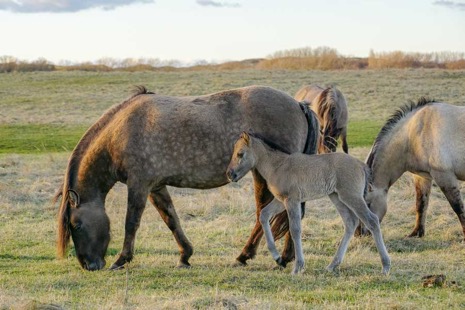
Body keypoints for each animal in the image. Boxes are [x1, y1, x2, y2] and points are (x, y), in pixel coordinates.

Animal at [55, 86, 320, 270]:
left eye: (76, 225)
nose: (89, 265)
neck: (121, 131)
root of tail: (299, 104)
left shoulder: (139, 185)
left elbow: (131, 222)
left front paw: (121, 259)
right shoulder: (155, 187)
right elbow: (171, 219)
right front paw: (185, 255)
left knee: (276, 214)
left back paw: (251, 256)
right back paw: (282, 256)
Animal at [227, 132, 390, 274]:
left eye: (240, 154)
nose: (230, 174)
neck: (277, 165)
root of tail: (361, 165)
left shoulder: (292, 200)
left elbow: (295, 229)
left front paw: (297, 267)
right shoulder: (281, 201)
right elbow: (263, 215)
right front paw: (278, 258)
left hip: (351, 196)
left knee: (372, 220)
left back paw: (386, 266)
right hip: (337, 197)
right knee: (350, 222)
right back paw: (332, 265)